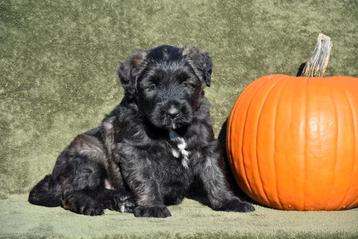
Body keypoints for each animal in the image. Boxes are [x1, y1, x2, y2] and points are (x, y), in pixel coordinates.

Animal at [28, 44, 255, 217]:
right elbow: (145, 178)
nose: (172, 112)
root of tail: (54, 179)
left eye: (186, 83)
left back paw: (122, 200)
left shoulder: (205, 146)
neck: (170, 131)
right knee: (71, 193)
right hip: (89, 154)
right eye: (152, 85)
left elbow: (215, 174)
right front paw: (151, 207)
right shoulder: (134, 150)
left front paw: (228, 202)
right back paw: (90, 205)